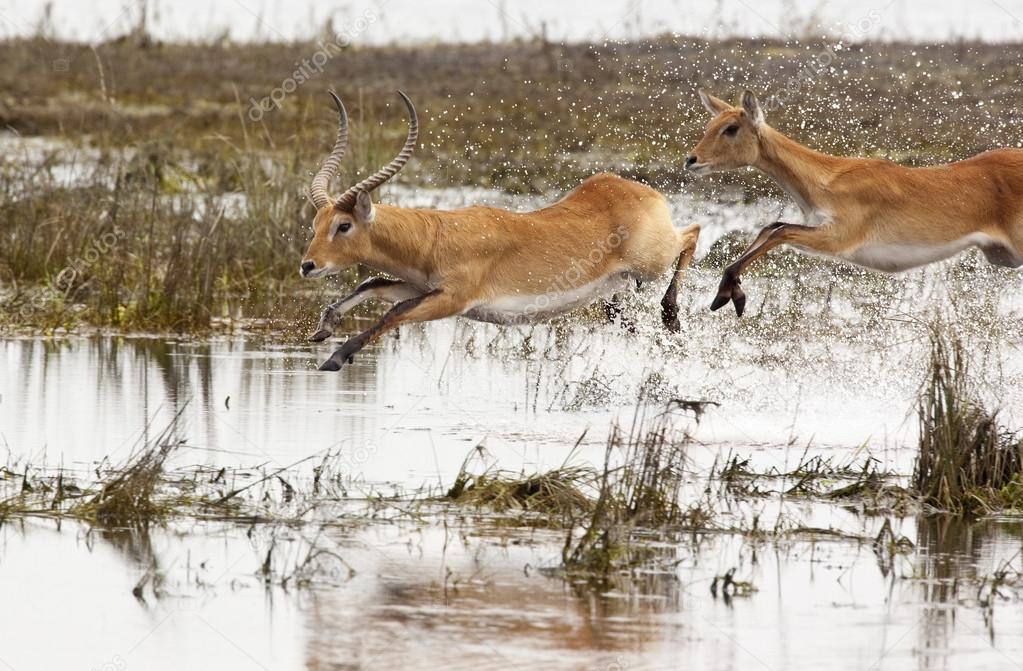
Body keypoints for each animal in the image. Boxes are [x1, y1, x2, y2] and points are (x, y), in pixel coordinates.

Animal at [298, 90, 699, 372]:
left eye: (344, 225)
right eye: (315, 224)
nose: (308, 265)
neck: (435, 237)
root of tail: (634, 189)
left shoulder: (452, 299)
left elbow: (392, 314)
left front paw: (335, 357)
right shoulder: (421, 287)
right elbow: (374, 284)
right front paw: (324, 327)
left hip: (652, 260)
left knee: (693, 231)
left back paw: (672, 317)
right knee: (620, 307)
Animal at [683, 87, 1023, 315]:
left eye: (731, 128)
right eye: (709, 126)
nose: (691, 160)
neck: (828, 179)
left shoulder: (838, 238)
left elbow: (780, 231)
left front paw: (728, 295)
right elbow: (771, 226)